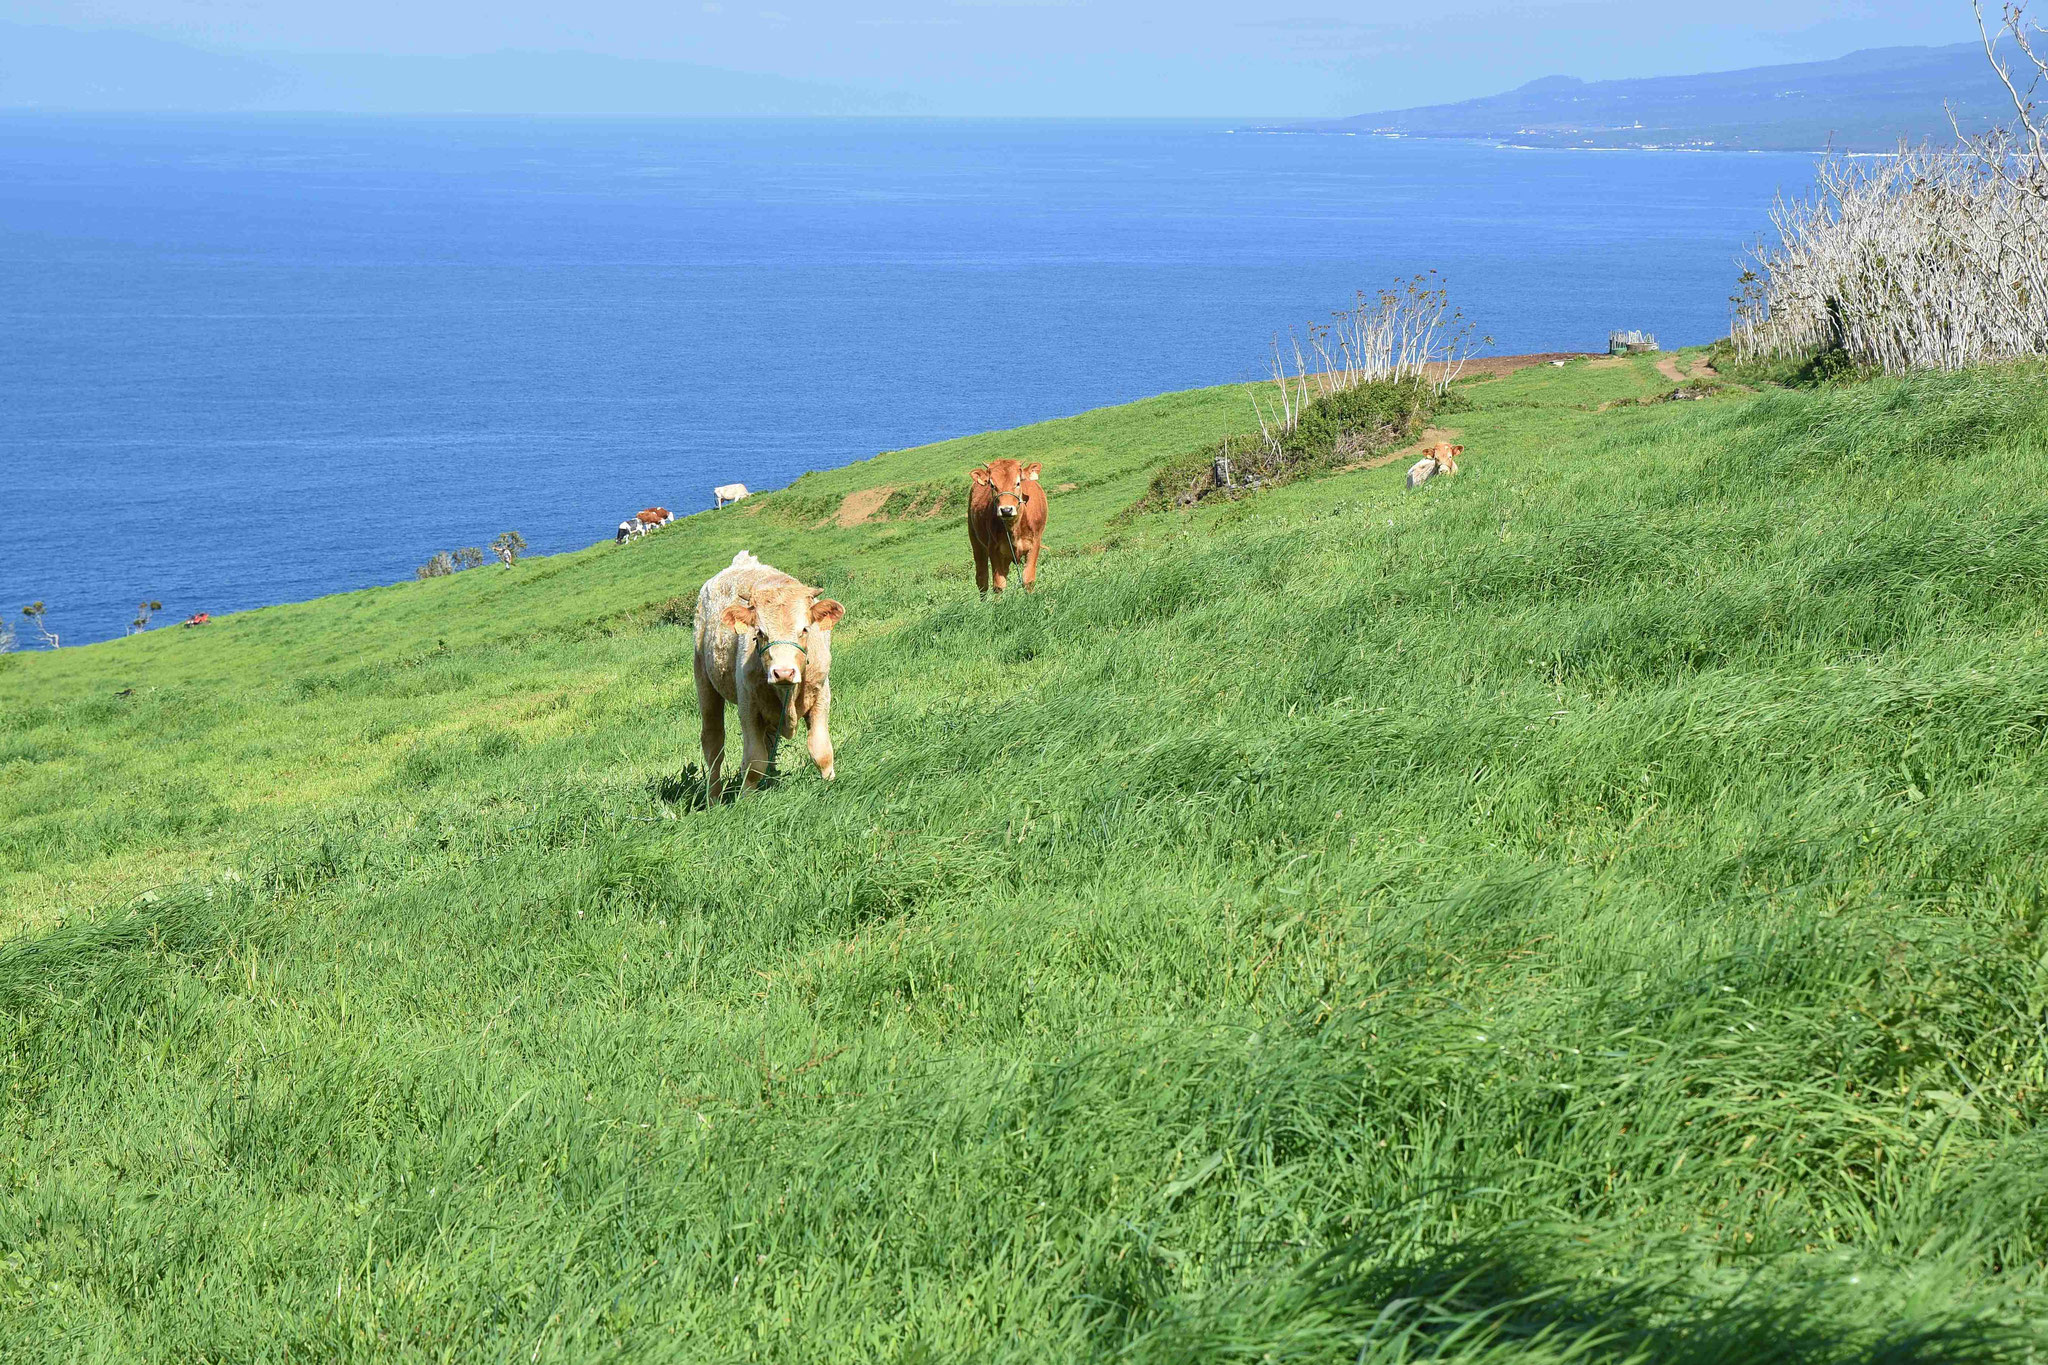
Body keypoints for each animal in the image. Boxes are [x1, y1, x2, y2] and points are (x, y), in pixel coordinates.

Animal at [966, 458, 1048, 593]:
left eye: (1018, 482)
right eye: (992, 485)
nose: (1006, 510)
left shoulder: (1035, 543)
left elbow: (1028, 579)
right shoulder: (993, 548)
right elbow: (999, 585)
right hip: (976, 542)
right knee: (982, 579)